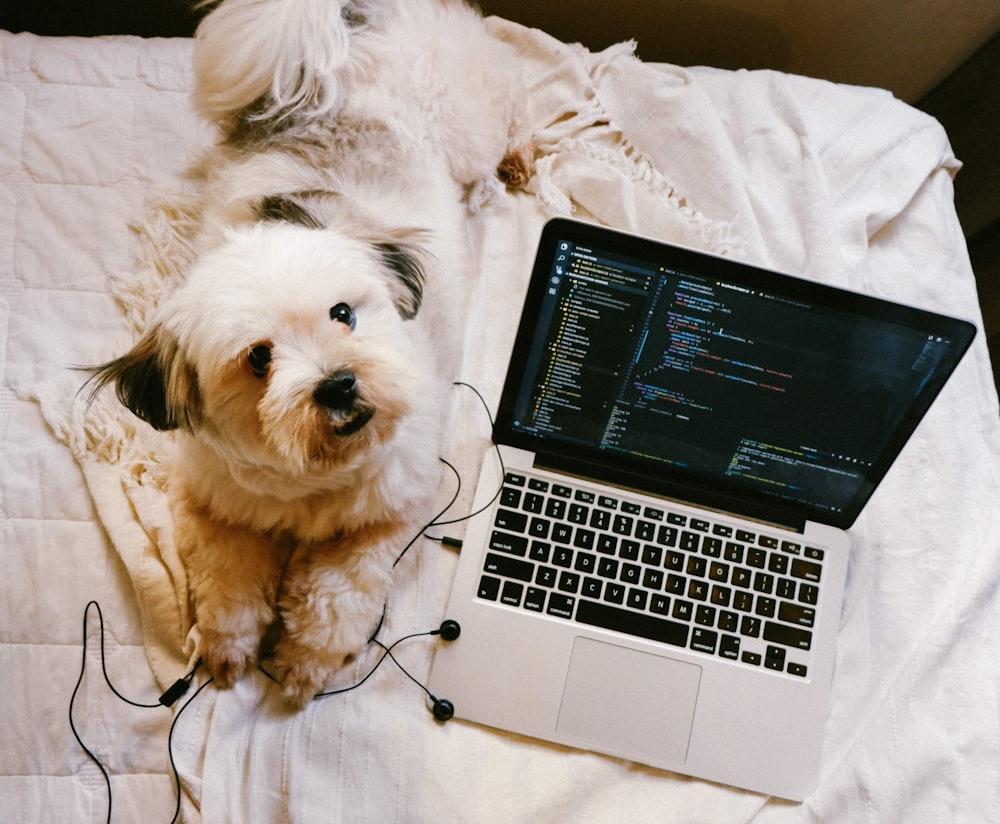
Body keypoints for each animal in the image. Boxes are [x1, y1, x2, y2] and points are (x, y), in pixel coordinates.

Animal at [92, 0, 532, 708]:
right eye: (258, 359)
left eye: (343, 314)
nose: (338, 383)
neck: (312, 478)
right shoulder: (212, 506)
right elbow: (229, 582)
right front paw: (228, 647)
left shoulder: (389, 516)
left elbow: (337, 595)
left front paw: (306, 661)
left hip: (469, 115)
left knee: (513, 94)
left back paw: (516, 160)